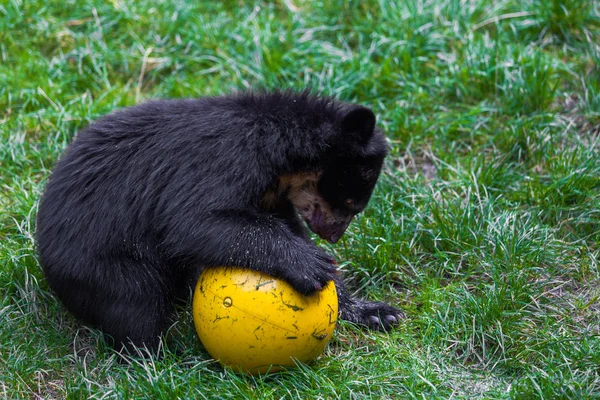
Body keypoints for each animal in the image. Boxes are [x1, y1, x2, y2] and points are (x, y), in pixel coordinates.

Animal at [37, 90, 404, 350]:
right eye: (350, 203)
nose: (333, 235)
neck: (282, 160)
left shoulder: (272, 196)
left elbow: (285, 226)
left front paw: (376, 312)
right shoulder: (228, 159)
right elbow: (193, 221)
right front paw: (312, 265)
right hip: (102, 262)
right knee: (135, 302)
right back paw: (166, 357)